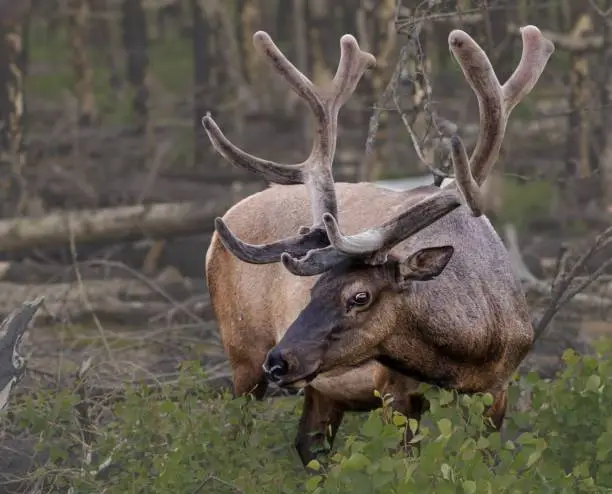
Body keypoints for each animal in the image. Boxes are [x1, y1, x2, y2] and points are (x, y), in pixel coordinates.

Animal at [202, 26, 556, 466]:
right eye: (314, 290)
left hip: (318, 388)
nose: (280, 361)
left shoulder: (499, 388)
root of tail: (223, 225)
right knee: (236, 436)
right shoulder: (393, 388)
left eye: (360, 296)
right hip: (241, 353)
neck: (468, 348)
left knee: (309, 444)